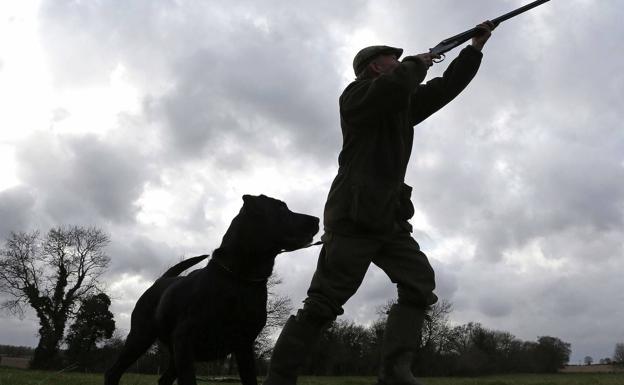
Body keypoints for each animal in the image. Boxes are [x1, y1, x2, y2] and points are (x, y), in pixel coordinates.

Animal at [105, 195, 320, 384]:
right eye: (281, 208)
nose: (317, 219)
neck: (240, 281)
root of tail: (162, 280)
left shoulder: (244, 345)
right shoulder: (185, 339)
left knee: (163, 380)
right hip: (141, 336)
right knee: (113, 371)